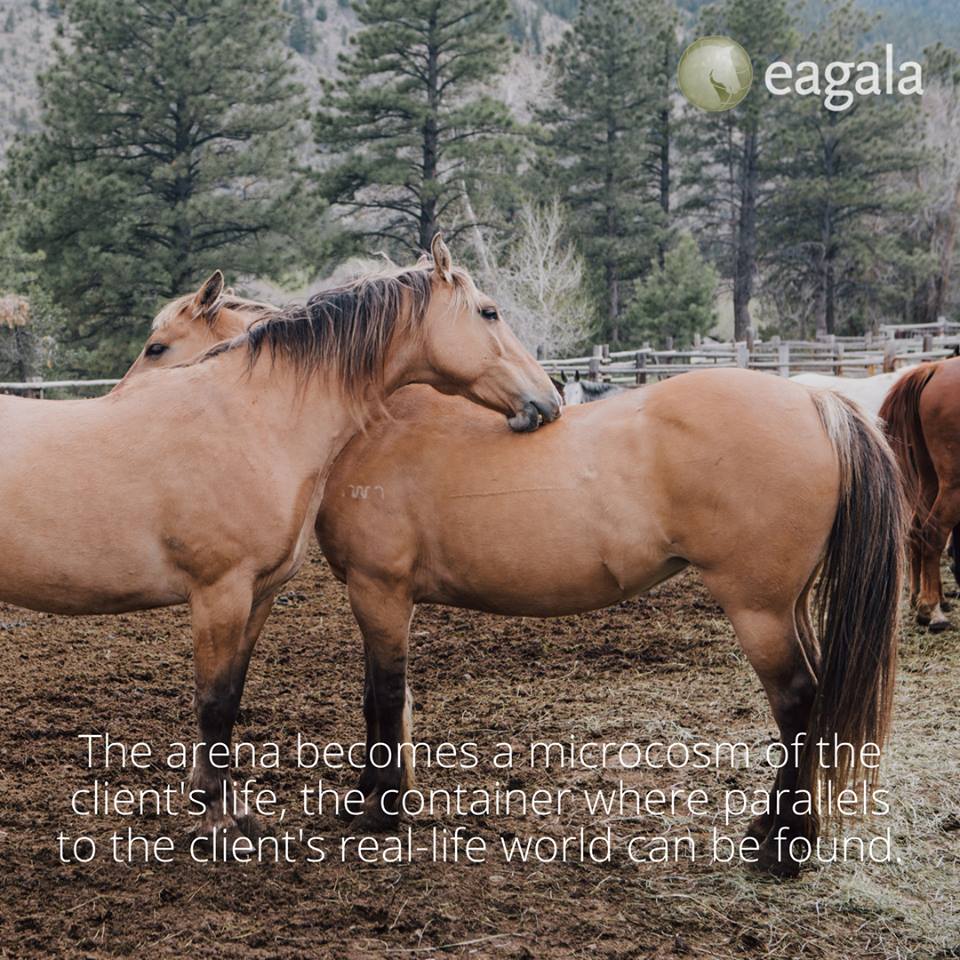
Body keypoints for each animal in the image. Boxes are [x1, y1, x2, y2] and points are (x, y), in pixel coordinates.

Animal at [2, 236, 561, 844]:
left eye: (157, 347)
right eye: (489, 312)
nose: (548, 400)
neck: (252, 419)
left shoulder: (259, 594)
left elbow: (232, 697)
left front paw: (232, 808)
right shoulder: (219, 593)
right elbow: (213, 703)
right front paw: (216, 819)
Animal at [136, 303, 904, 878]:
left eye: (157, 346)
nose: (124, 409)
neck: (376, 427)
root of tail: (814, 397)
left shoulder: (379, 591)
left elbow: (383, 697)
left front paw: (379, 811)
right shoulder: (381, 598)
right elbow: (384, 700)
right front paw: (377, 802)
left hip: (757, 609)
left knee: (798, 703)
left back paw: (784, 848)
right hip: (787, 604)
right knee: (813, 704)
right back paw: (776, 830)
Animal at [879, 357, 960, 632]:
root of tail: (934, 368)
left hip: (930, 479)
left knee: (918, 530)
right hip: (952, 483)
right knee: (934, 533)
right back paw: (931, 609)